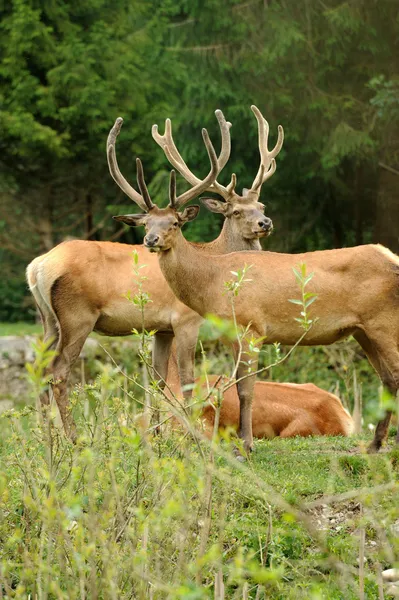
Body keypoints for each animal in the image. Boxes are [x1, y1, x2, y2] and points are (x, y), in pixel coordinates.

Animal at [26, 105, 282, 438]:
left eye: (261, 205)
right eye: (236, 211)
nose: (265, 223)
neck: (211, 260)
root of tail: (38, 266)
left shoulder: (162, 328)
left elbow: (159, 380)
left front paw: (157, 433)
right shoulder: (186, 319)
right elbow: (186, 378)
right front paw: (191, 433)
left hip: (47, 319)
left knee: (39, 368)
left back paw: (47, 437)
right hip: (76, 315)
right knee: (58, 372)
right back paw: (72, 438)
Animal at [111, 116, 399, 454]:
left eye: (175, 223)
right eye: (146, 223)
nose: (151, 240)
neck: (214, 282)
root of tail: (392, 258)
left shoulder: (251, 327)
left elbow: (246, 389)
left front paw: (246, 444)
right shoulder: (231, 334)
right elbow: (236, 385)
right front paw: (241, 439)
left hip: (384, 321)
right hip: (363, 330)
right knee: (388, 378)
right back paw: (374, 445)